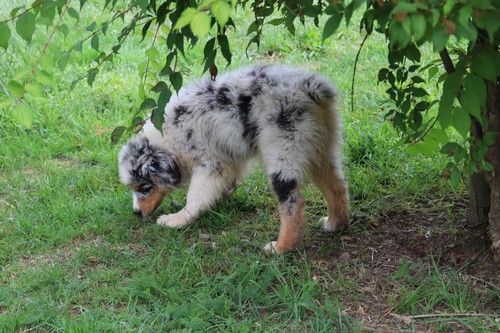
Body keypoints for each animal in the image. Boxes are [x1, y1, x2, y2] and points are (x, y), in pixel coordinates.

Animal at [119, 63, 350, 253]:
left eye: (145, 188)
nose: (136, 213)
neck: (168, 136)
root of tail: (309, 87)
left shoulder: (211, 164)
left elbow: (196, 196)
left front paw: (177, 220)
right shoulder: (228, 160)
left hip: (284, 154)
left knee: (294, 206)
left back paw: (281, 247)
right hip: (321, 149)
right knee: (337, 186)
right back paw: (334, 224)